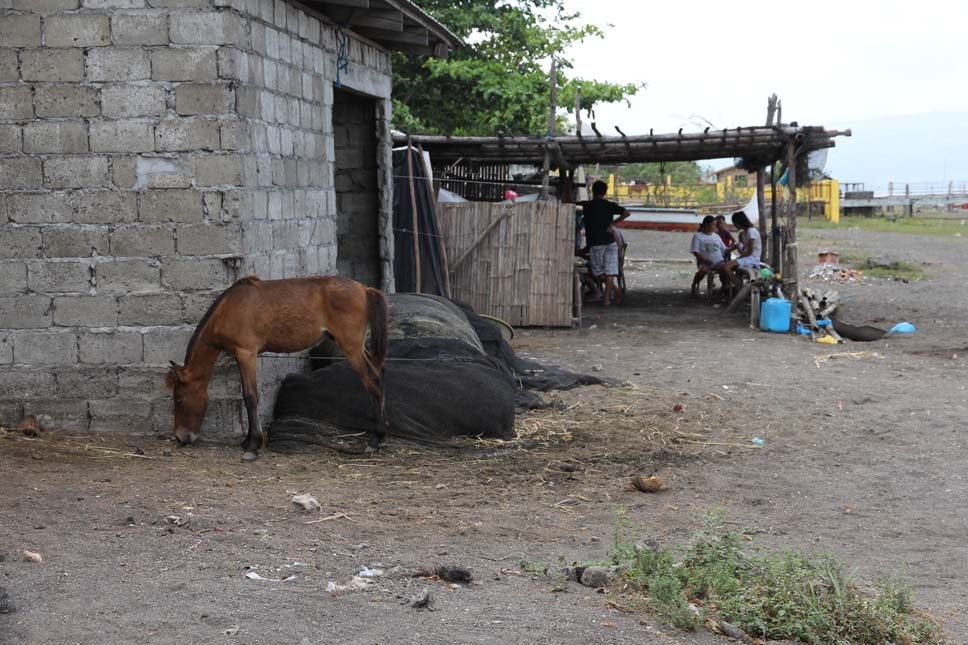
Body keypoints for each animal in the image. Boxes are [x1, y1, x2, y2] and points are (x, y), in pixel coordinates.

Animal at [166, 274, 390, 460]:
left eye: (179, 399)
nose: (180, 437)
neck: (229, 309)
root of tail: (364, 289)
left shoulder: (246, 353)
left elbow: (251, 397)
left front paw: (253, 446)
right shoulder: (242, 356)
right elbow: (248, 397)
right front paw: (248, 441)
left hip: (351, 347)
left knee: (373, 382)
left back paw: (376, 439)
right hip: (357, 347)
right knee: (379, 374)